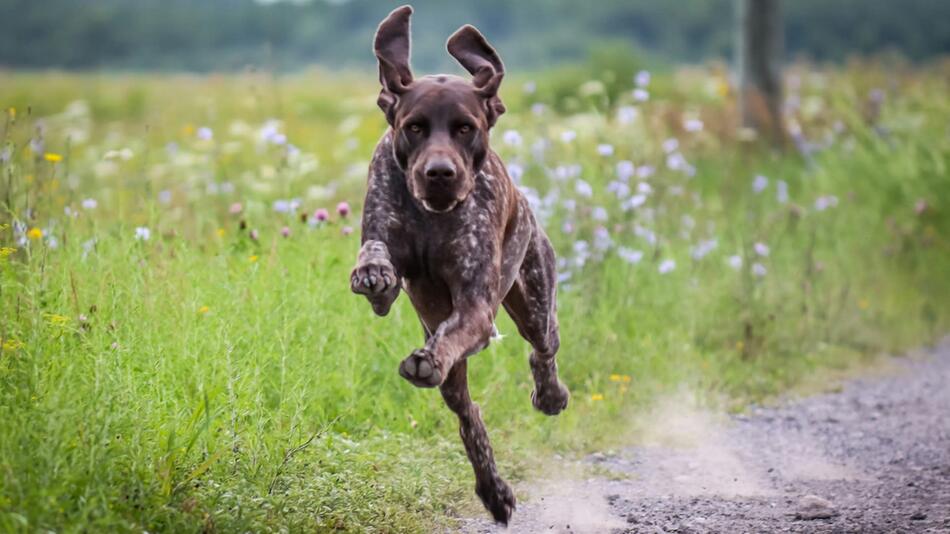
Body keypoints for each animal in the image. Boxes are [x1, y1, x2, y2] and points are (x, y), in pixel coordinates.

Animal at [352, 5, 568, 528]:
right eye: (413, 127)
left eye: (465, 128)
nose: (439, 173)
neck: (433, 217)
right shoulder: (386, 249)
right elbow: (377, 256)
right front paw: (373, 272)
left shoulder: (475, 310)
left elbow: (457, 333)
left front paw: (430, 356)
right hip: (455, 374)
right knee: (468, 415)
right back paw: (493, 489)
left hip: (534, 301)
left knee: (542, 348)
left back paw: (550, 396)